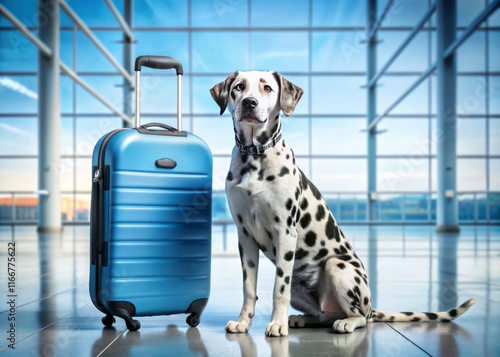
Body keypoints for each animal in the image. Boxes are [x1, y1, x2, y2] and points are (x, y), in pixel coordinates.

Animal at [210, 71, 476, 336]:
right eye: (239, 87)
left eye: (267, 88)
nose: (249, 103)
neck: (254, 157)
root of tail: (371, 306)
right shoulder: (245, 236)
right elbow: (249, 288)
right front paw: (243, 322)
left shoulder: (285, 232)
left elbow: (278, 289)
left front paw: (277, 324)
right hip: (302, 286)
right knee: (324, 314)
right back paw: (302, 319)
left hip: (336, 266)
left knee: (358, 317)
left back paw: (345, 322)